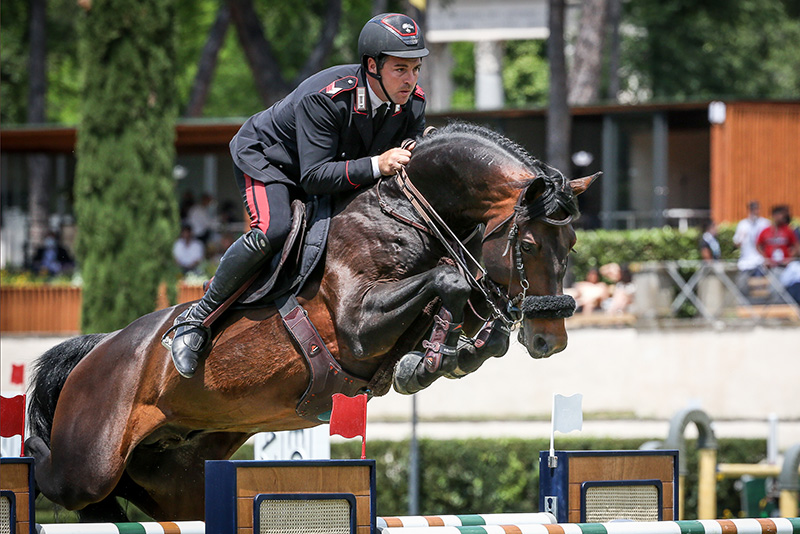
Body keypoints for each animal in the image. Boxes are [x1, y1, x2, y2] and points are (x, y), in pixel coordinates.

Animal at [25, 122, 596, 524]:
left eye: (571, 244)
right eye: (528, 245)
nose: (549, 340)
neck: (406, 215)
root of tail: (99, 349)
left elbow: (474, 316)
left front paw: (431, 361)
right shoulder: (358, 324)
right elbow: (450, 281)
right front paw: (431, 355)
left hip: (174, 480)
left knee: (127, 497)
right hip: (90, 460)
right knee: (54, 471)